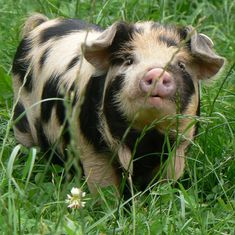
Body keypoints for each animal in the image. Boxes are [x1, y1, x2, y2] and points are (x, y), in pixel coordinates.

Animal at [11, 13, 225, 196]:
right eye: (128, 60)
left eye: (181, 64)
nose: (157, 72)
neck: (147, 134)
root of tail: (42, 24)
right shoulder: (92, 148)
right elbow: (104, 186)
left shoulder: (179, 148)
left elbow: (165, 183)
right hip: (20, 114)